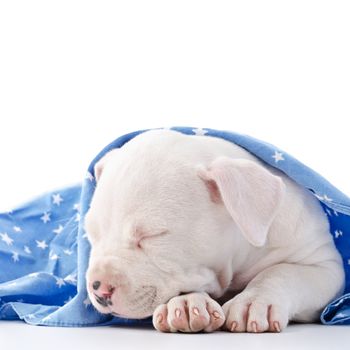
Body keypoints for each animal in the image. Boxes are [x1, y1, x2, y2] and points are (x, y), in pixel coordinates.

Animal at [85, 129, 344, 334]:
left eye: (153, 235)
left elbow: (282, 272)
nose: (99, 288)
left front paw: (254, 301)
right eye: (92, 234)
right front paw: (186, 305)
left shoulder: (325, 265)